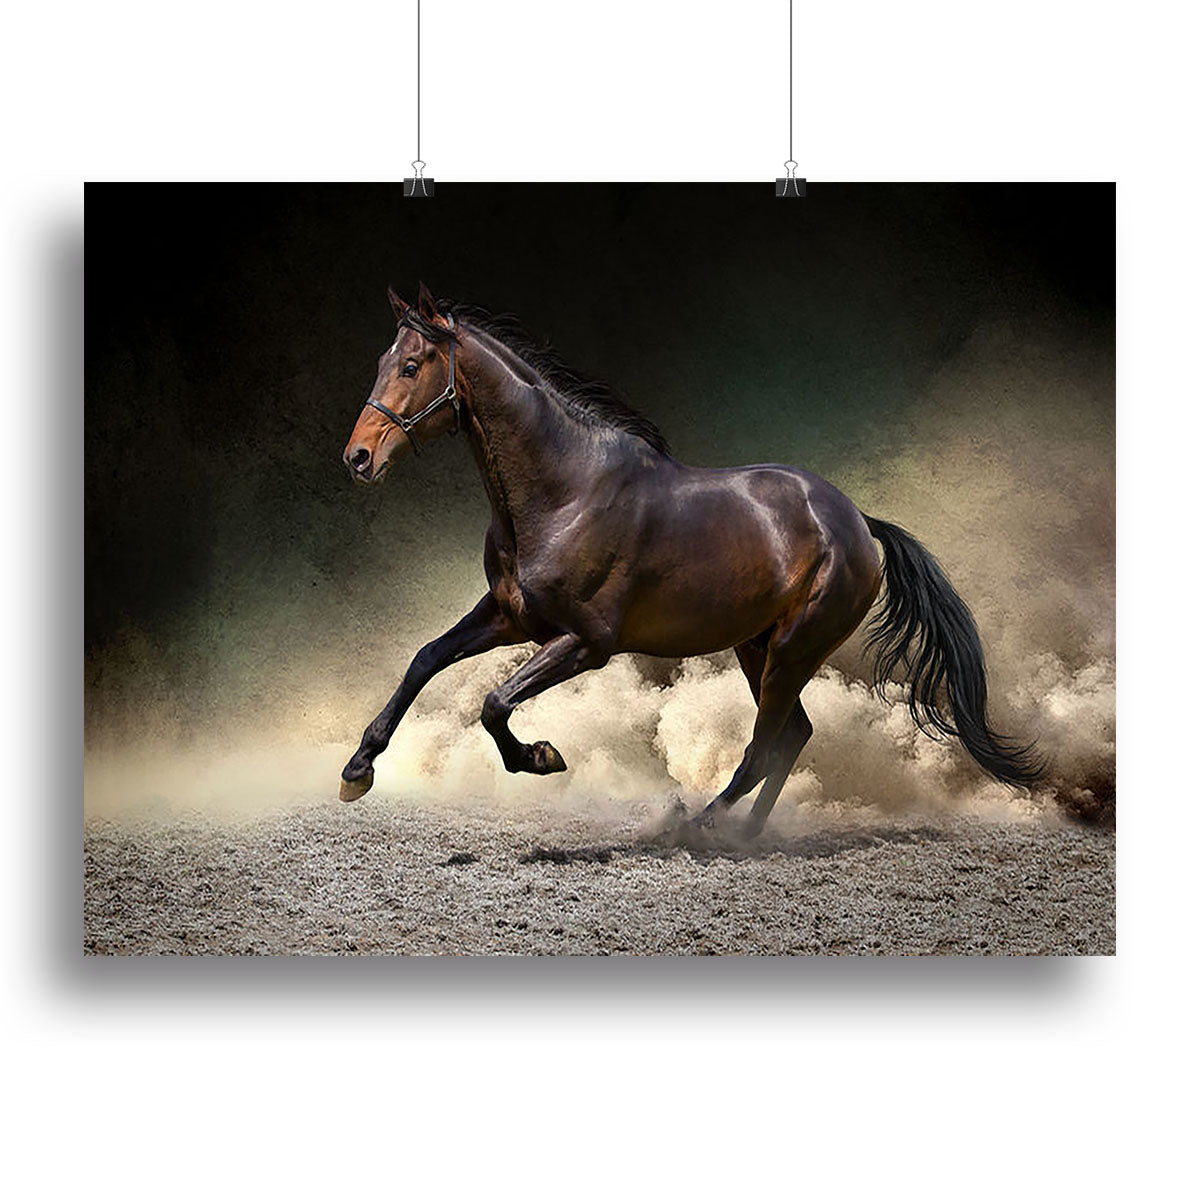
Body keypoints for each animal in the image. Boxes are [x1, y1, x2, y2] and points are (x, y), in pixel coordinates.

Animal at [339, 283, 1040, 836]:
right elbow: (426, 659)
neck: (565, 492)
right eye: (382, 360)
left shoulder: (585, 642)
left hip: (795, 649)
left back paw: (700, 826)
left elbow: (493, 703)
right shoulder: (511, 617)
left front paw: (540, 757)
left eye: (411, 366)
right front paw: (357, 769)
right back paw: (747, 835)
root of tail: (859, 524)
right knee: (792, 737)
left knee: (765, 747)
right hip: (758, 646)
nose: (358, 458)